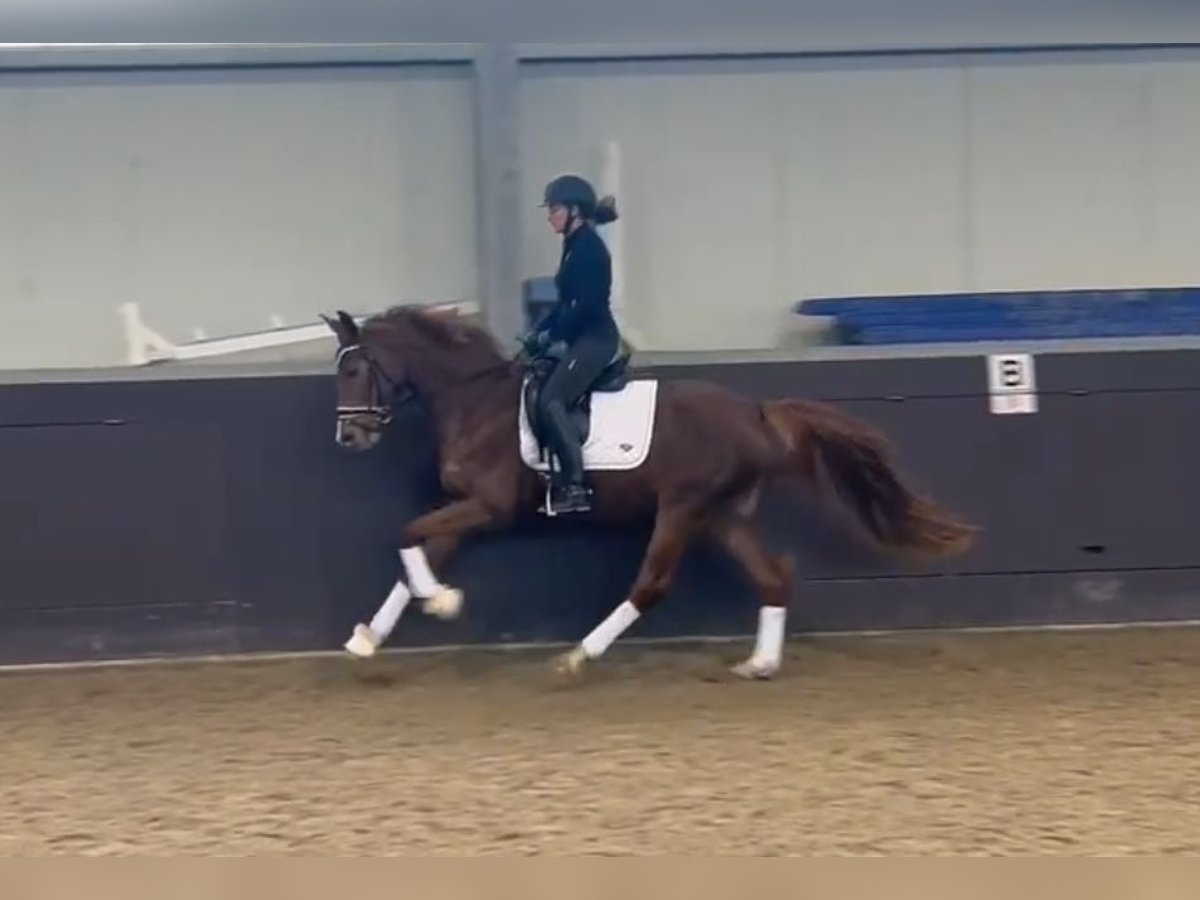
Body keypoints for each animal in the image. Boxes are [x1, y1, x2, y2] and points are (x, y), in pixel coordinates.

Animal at [319, 307, 974, 681]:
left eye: (353, 370)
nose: (348, 437)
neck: (474, 400)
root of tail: (757, 414)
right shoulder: (464, 510)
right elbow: (413, 556)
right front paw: (370, 637)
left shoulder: (488, 507)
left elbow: (407, 536)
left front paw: (442, 601)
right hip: (721, 516)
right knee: (772, 577)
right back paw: (760, 663)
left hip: (682, 508)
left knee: (652, 584)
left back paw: (579, 656)